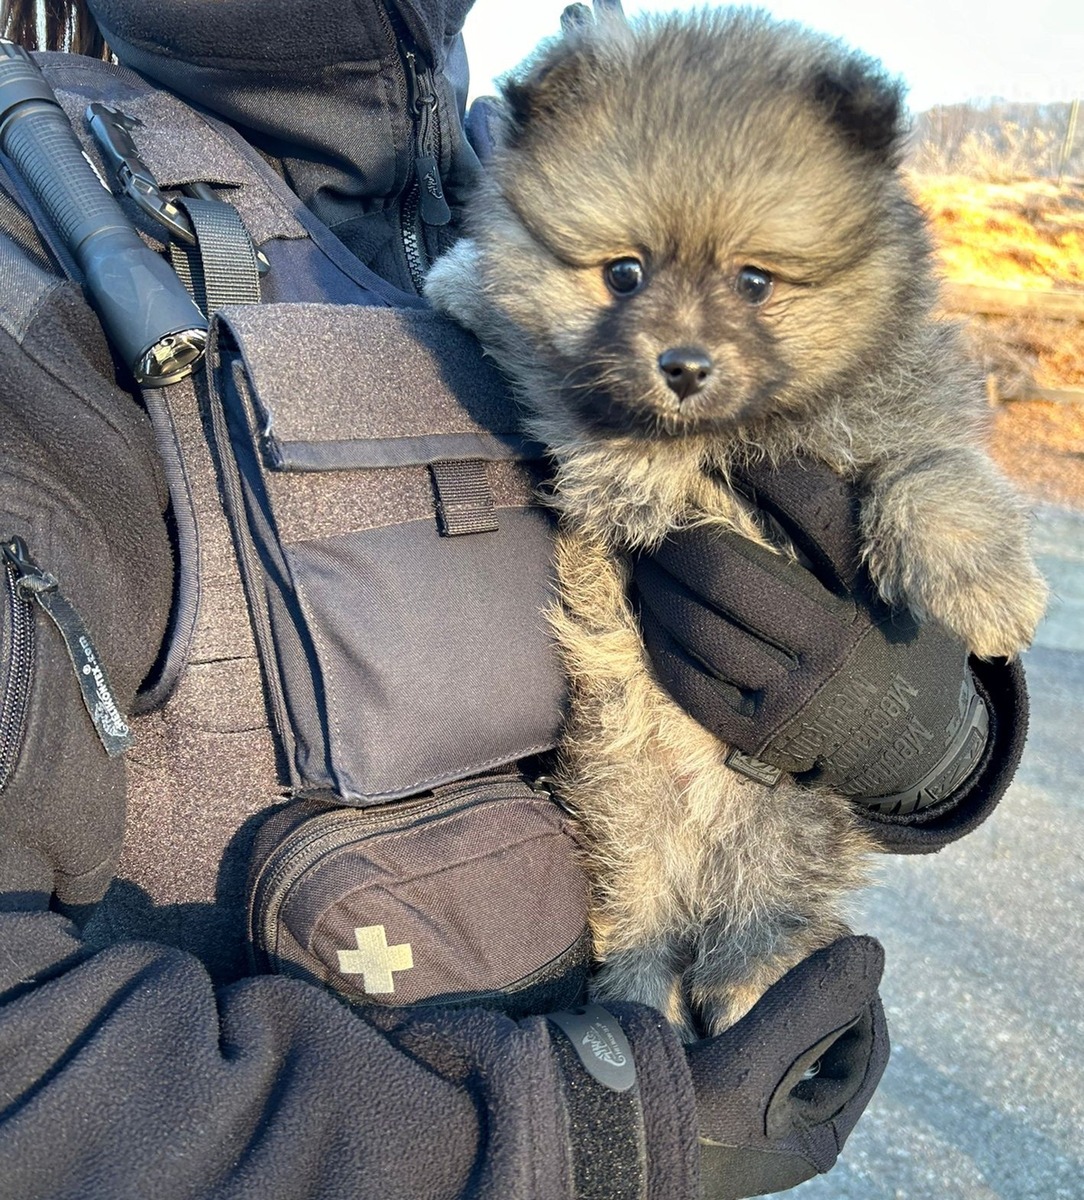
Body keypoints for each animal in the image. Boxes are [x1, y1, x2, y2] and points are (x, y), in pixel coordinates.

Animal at [424, 9, 1051, 1041]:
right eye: (625, 273)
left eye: (755, 282)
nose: (682, 365)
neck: (746, 431)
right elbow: (565, 379)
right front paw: (466, 285)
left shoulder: (904, 406)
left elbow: (931, 473)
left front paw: (989, 585)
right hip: (623, 827)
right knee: (639, 939)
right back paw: (659, 1008)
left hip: (795, 839)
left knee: (763, 930)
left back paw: (755, 985)